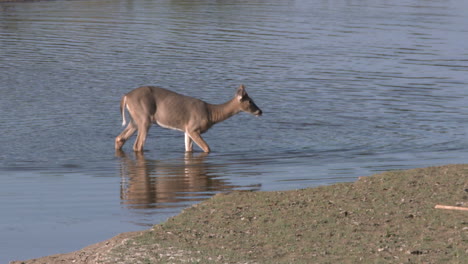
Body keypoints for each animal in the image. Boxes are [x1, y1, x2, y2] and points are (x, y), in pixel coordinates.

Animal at [114, 83, 262, 152]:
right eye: (250, 101)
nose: (260, 111)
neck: (210, 113)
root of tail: (126, 96)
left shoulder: (187, 130)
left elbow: (188, 149)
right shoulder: (193, 128)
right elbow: (207, 148)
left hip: (135, 120)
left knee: (119, 138)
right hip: (144, 118)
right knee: (138, 145)